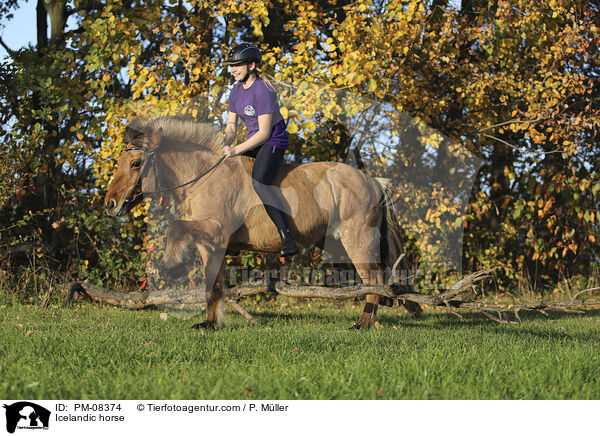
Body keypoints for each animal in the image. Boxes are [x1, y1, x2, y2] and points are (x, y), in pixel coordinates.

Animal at [104, 117, 422, 328]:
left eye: (136, 164)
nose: (110, 204)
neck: (204, 177)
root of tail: (373, 181)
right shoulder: (210, 243)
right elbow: (212, 283)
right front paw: (210, 324)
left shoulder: (216, 232)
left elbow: (176, 227)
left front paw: (170, 264)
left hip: (357, 240)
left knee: (374, 279)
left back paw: (362, 325)